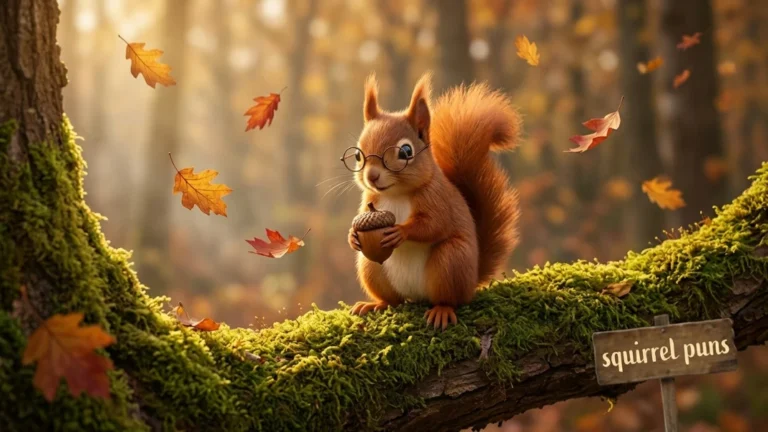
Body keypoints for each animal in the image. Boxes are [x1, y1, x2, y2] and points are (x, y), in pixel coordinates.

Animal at [346, 72, 521, 329]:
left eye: (406, 152)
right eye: (358, 155)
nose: (372, 176)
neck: (395, 194)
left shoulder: (437, 197)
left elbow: (434, 224)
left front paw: (401, 231)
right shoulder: (369, 199)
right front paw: (352, 236)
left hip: (451, 261)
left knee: (450, 298)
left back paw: (441, 310)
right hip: (370, 267)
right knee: (394, 300)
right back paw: (376, 304)